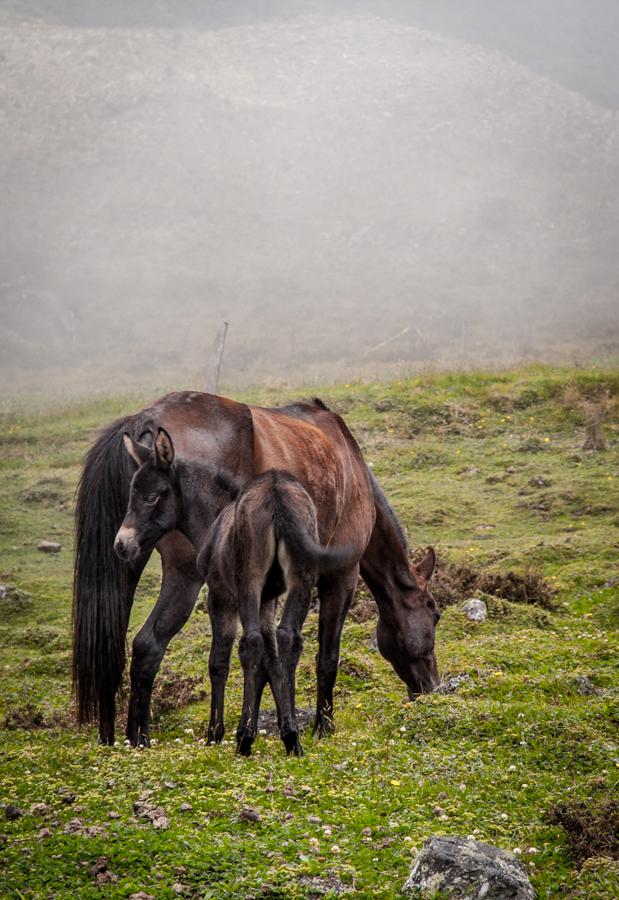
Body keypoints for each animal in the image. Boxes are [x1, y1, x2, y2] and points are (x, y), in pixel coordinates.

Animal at [74, 392, 440, 744]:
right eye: (434, 614)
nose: (432, 687)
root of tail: (144, 418)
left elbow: (266, 653)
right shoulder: (341, 576)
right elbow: (324, 657)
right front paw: (320, 726)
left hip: (138, 562)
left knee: (132, 647)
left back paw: (125, 738)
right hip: (186, 573)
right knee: (152, 643)